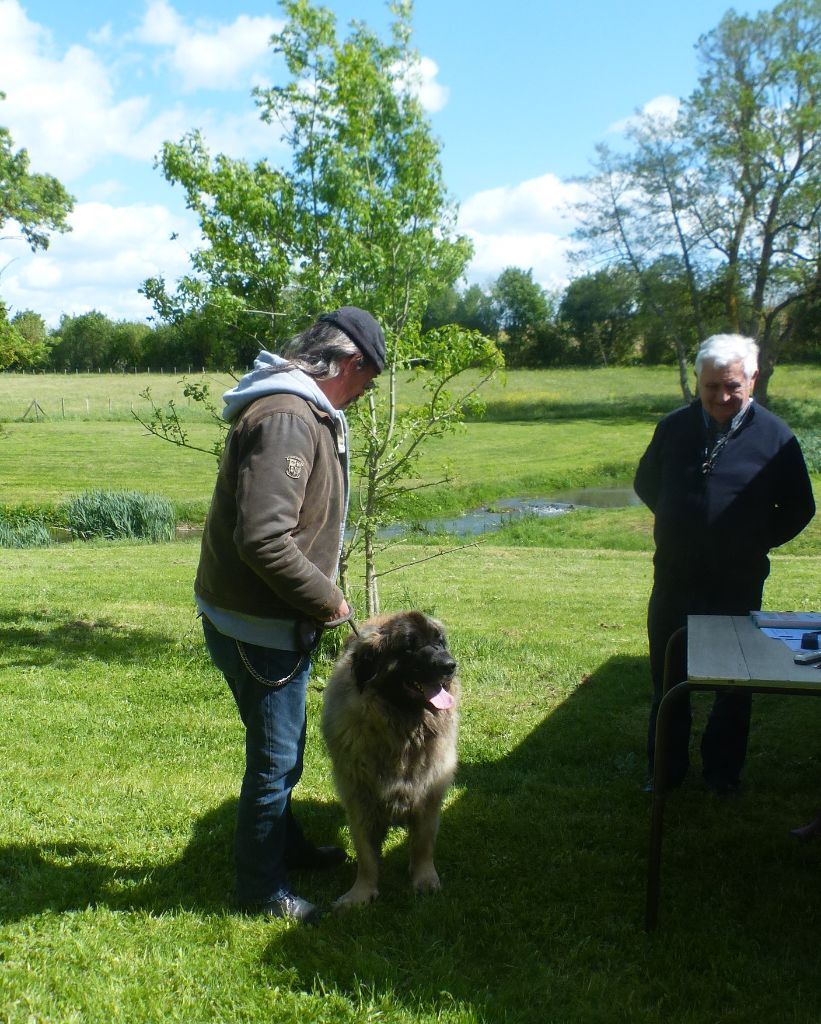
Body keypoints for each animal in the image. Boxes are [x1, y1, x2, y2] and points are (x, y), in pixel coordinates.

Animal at [321, 610, 460, 909]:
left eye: (439, 642)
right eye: (409, 646)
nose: (449, 665)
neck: (402, 728)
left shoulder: (429, 793)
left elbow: (423, 844)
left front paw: (424, 879)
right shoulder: (359, 796)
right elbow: (365, 854)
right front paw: (361, 892)